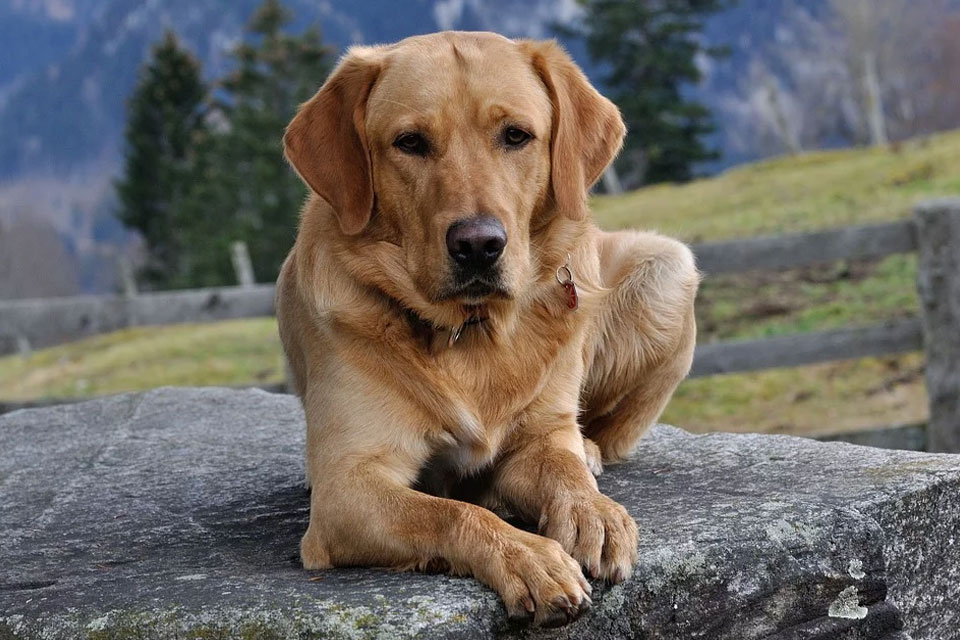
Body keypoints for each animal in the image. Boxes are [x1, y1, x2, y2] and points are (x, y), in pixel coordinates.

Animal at [278, 30, 696, 624]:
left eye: (516, 135)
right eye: (410, 142)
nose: (478, 244)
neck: (470, 331)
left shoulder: (539, 436)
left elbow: (561, 470)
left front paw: (592, 510)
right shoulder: (345, 487)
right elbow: (450, 514)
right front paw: (526, 555)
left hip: (668, 267)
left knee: (603, 434)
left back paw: (589, 453)